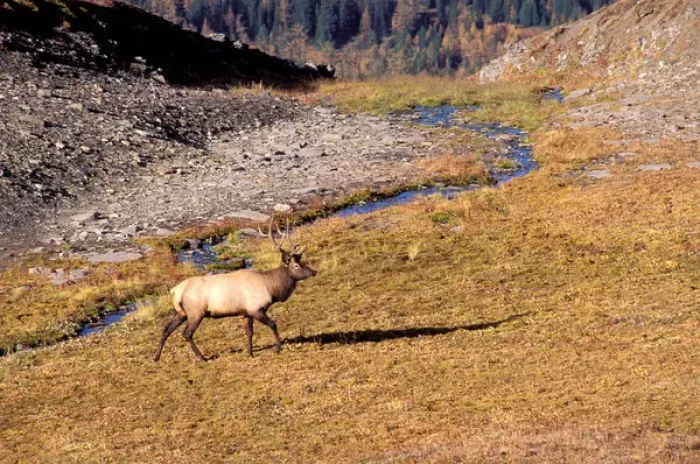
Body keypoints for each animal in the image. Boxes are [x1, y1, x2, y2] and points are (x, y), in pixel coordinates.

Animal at [153, 218, 316, 362]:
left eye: (302, 262)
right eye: (297, 265)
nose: (314, 272)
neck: (272, 289)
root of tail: (175, 290)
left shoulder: (246, 312)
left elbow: (249, 332)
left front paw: (250, 353)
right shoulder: (256, 308)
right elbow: (273, 324)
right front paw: (278, 347)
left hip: (181, 312)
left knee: (166, 329)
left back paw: (156, 356)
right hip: (195, 312)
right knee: (186, 333)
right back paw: (201, 357)